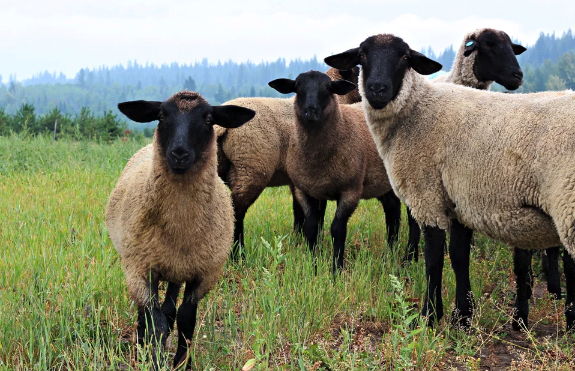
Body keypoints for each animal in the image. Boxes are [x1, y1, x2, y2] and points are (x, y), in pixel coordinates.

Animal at [104, 91, 256, 370]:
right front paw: (154, 359)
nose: (179, 154)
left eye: (208, 119)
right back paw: (140, 344)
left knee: (170, 309)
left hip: (176, 267)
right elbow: (156, 322)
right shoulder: (141, 268)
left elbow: (186, 320)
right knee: (146, 311)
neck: (181, 228)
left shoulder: (203, 273)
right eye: (162, 116)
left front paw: (181, 362)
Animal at [268, 70, 420, 274]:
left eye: (328, 89)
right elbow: (311, 227)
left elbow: (337, 229)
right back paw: (390, 252)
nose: (310, 111)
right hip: (381, 181)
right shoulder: (304, 190)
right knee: (392, 209)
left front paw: (336, 269)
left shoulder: (350, 190)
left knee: (414, 218)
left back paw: (409, 259)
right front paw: (312, 265)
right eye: (297, 87)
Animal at [324, 34, 575, 332]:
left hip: (567, 203)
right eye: (362, 55)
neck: (417, 110)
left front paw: (430, 316)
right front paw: (462, 317)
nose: (376, 89)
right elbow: (458, 257)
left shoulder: (428, 197)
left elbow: (433, 261)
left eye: (404, 57)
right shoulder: (459, 203)